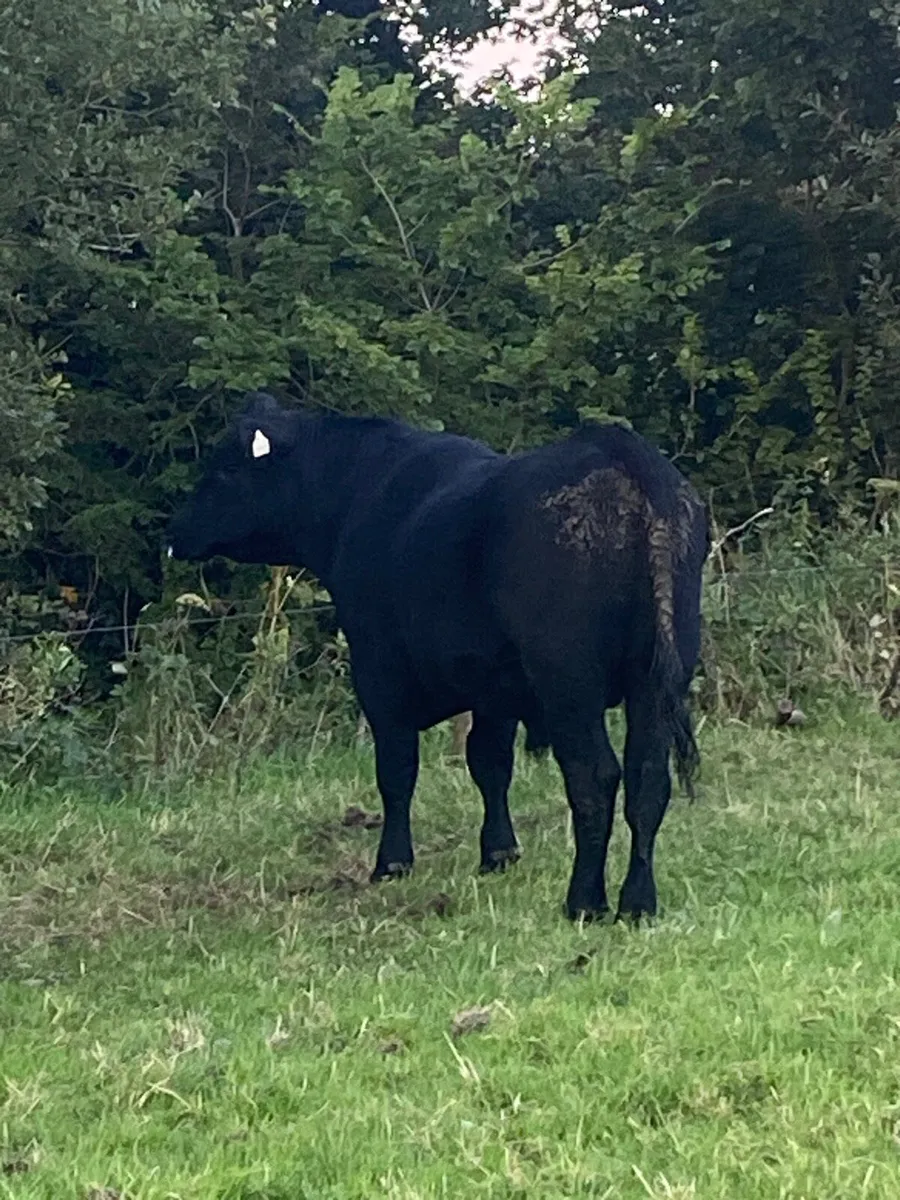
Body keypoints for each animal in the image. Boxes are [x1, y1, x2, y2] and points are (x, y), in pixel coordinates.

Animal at [167, 391, 708, 922]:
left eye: (224, 470)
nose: (175, 533)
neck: (354, 496)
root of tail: (620, 453)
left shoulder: (379, 673)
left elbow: (397, 770)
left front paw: (391, 863)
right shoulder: (493, 687)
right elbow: (489, 763)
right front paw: (498, 853)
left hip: (569, 683)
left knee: (594, 777)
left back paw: (584, 902)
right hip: (655, 680)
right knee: (648, 780)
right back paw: (638, 903)